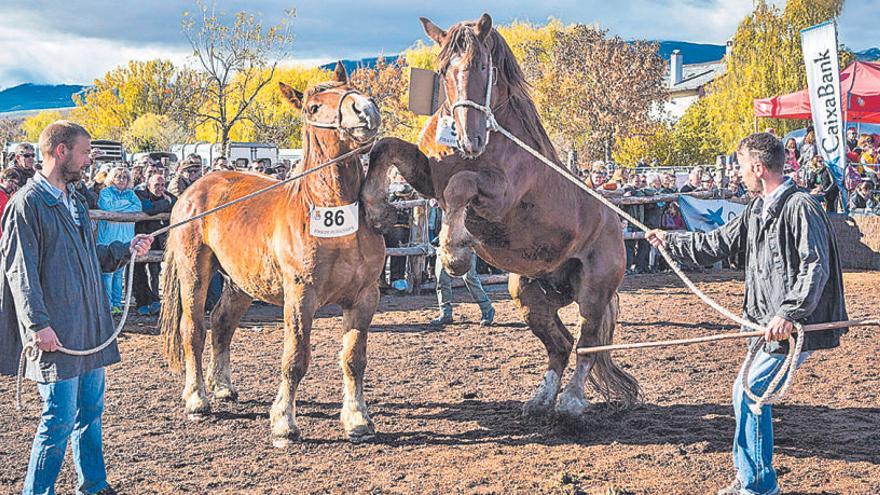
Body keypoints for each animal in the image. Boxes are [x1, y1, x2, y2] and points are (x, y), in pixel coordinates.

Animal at [161, 63, 384, 446]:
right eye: (312, 107)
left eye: (351, 89)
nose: (364, 110)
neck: (332, 214)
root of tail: (195, 188)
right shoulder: (300, 296)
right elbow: (295, 359)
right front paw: (284, 422)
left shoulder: (364, 297)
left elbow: (354, 359)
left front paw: (357, 419)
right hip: (194, 272)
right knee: (193, 329)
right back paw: (197, 398)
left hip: (240, 282)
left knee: (222, 323)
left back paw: (223, 387)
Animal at [360, 14, 644, 422]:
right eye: (443, 69)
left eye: (482, 66)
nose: (469, 139)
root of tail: (615, 222)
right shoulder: (428, 175)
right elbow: (386, 147)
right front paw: (376, 208)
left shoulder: (498, 196)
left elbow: (461, 186)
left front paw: (455, 252)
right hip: (528, 294)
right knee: (560, 344)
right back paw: (540, 400)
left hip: (594, 289)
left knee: (587, 342)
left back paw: (571, 401)